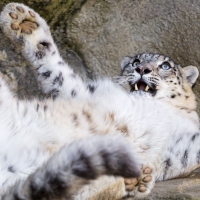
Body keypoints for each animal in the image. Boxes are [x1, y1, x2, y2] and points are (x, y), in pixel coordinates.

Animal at [0, 1, 199, 200]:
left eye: (165, 66)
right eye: (135, 62)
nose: (142, 69)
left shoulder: (179, 147)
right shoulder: (84, 94)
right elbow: (57, 71)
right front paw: (26, 24)